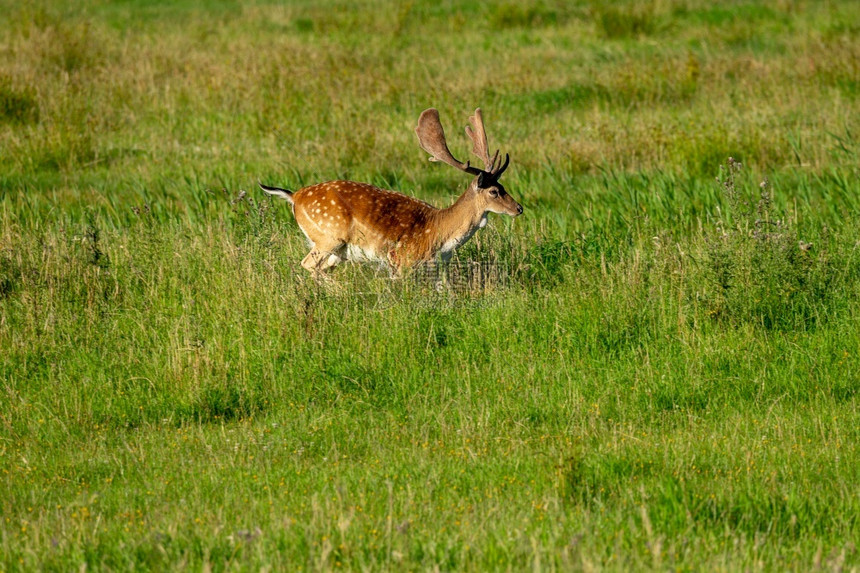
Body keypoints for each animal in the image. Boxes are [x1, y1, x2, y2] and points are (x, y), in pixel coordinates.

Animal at [258, 110, 520, 278]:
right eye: (495, 191)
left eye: (504, 187)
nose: (519, 208)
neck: (439, 233)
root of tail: (295, 196)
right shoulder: (401, 260)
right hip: (329, 236)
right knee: (307, 264)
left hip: (335, 250)